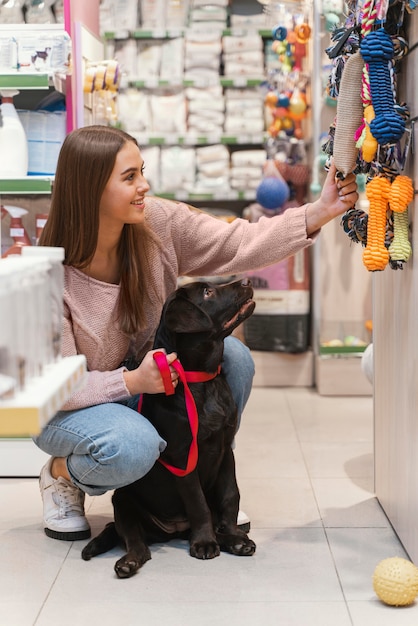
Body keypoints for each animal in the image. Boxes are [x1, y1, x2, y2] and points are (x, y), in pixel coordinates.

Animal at [80, 276, 256, 576]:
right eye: (207, 292)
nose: (247, 280)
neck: (201, 380)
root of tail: (171, 531)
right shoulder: (183, 458)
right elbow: (198, 503)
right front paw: (204, 543)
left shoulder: (225, 449)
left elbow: (230, 495)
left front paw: (233, 536)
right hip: (123, 501)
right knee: (134, 540)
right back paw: (129, 562)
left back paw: (229, 539)